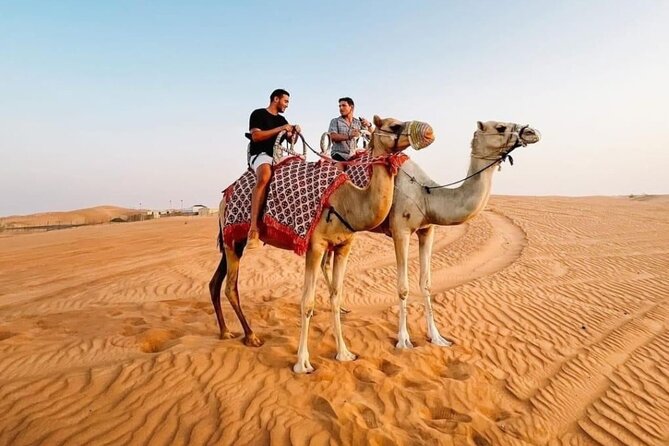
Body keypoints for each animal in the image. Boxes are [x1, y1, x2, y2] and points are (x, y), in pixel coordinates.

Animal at [209, 115, 435, 373]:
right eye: (394, 126)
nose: (428, 132)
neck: (346, 201)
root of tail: (224, 197)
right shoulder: (314, 246)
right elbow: (307, 303)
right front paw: (302, 363)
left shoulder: (344, 246)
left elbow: (335, 297)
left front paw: (344, 353)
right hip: (234, 236)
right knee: (230, 286)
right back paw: (251, 336)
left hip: (231, 240)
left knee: (216, 282)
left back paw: (226, 331)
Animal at [322, 121, 541, 348]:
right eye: (500, 127)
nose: (532, 132)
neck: (426, 194)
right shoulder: (401, 230)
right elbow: (403, 287)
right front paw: (403, 340)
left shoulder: (427, 230)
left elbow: (426, 283)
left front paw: (437, 337)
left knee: (325, 263)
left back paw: (342, 308)